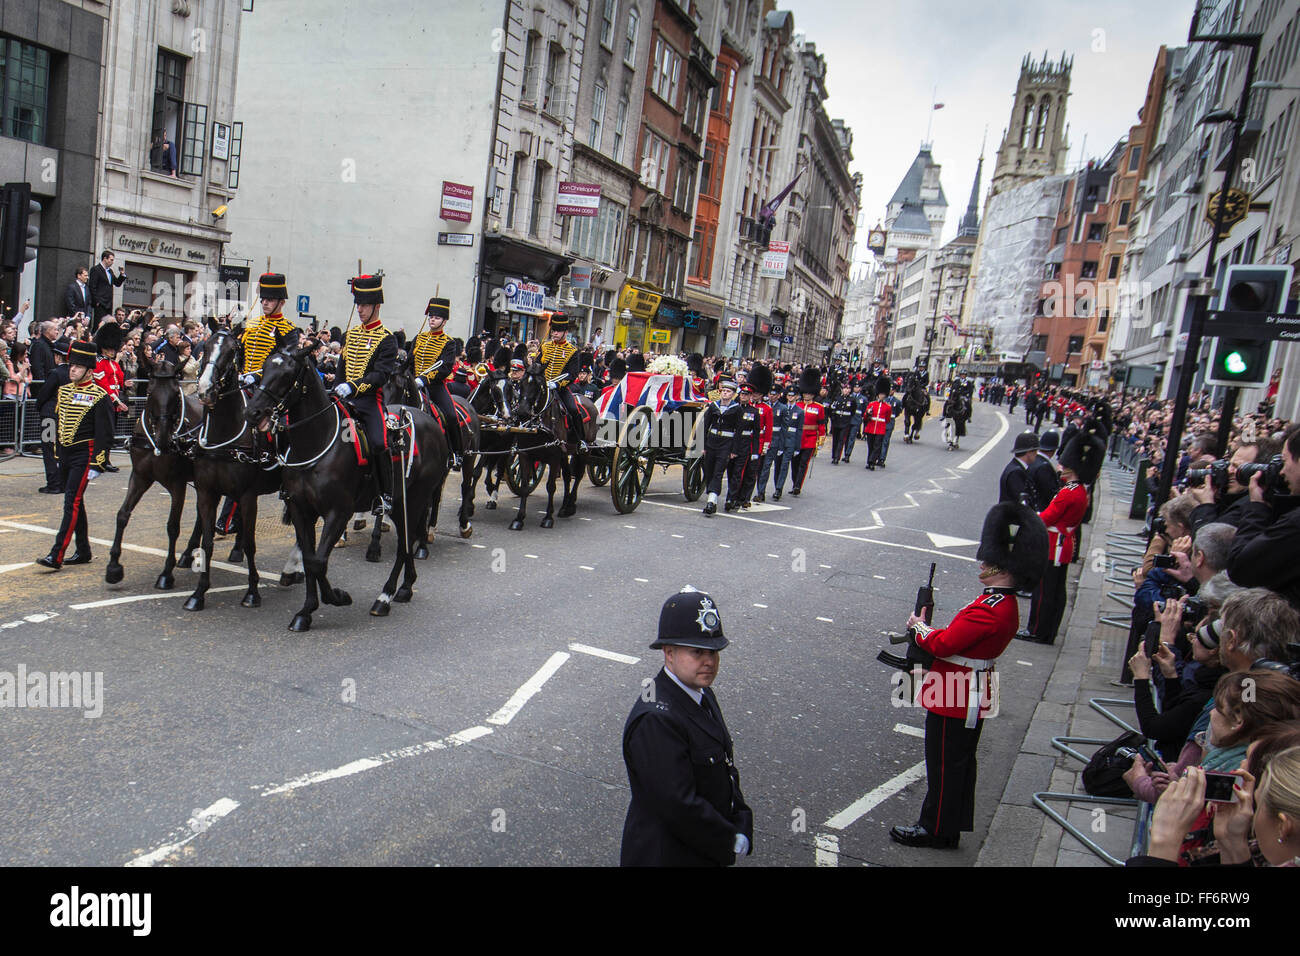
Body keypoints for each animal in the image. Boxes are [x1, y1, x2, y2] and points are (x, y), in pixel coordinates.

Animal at [105, 361, 204, 590]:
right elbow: (123, 515)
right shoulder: (140, 476)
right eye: (149, 392)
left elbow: (172, 526)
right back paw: (189, 552)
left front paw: (166, 572)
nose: (164, 440)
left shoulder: (178, 484)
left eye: (176, 393)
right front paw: (113, 566)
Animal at [244, 340, 452, 632]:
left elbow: (318, 562)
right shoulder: (300, 510)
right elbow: (309, 559)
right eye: (264, 369)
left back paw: (385, 597)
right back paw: (406, 587)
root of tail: (432, 423)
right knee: (408, 540)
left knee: (405, 543)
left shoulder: (338, 513)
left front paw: (338, 597)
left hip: (410, 500)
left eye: (287, 375)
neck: (316, 444)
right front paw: (306, 611)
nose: (252, 412)